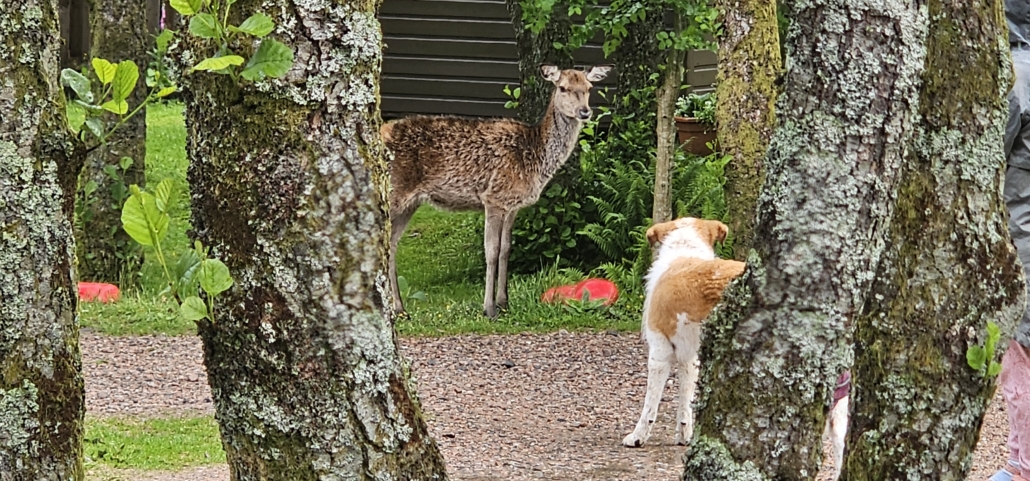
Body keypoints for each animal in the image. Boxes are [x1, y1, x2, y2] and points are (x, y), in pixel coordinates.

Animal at [381, 64, 612, 318]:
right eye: (562, 87)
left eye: (589, 88)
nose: (585, 111)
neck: (535, 158)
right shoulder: (493, 197)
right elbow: (491, 251)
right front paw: (489, 308)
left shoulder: (513, 205)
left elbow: (505, 249)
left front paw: (504, 302)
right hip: (394, 193)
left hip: (409, 203)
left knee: (391, 244)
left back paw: (399, 307)